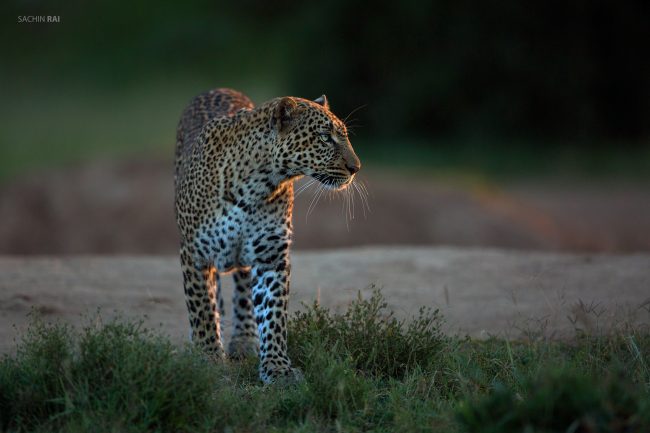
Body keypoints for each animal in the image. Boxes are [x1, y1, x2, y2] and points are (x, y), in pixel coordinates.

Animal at [174, 88, 361, 383]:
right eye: (324, 137)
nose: (356, 167)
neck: (257, 184)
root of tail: (222, 89)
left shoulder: (271, 255)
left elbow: (273, 313)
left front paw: (277, 368)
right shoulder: (195, 253)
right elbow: (202, 308)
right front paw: (208, 359)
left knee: (242, 288)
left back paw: (245, 341)